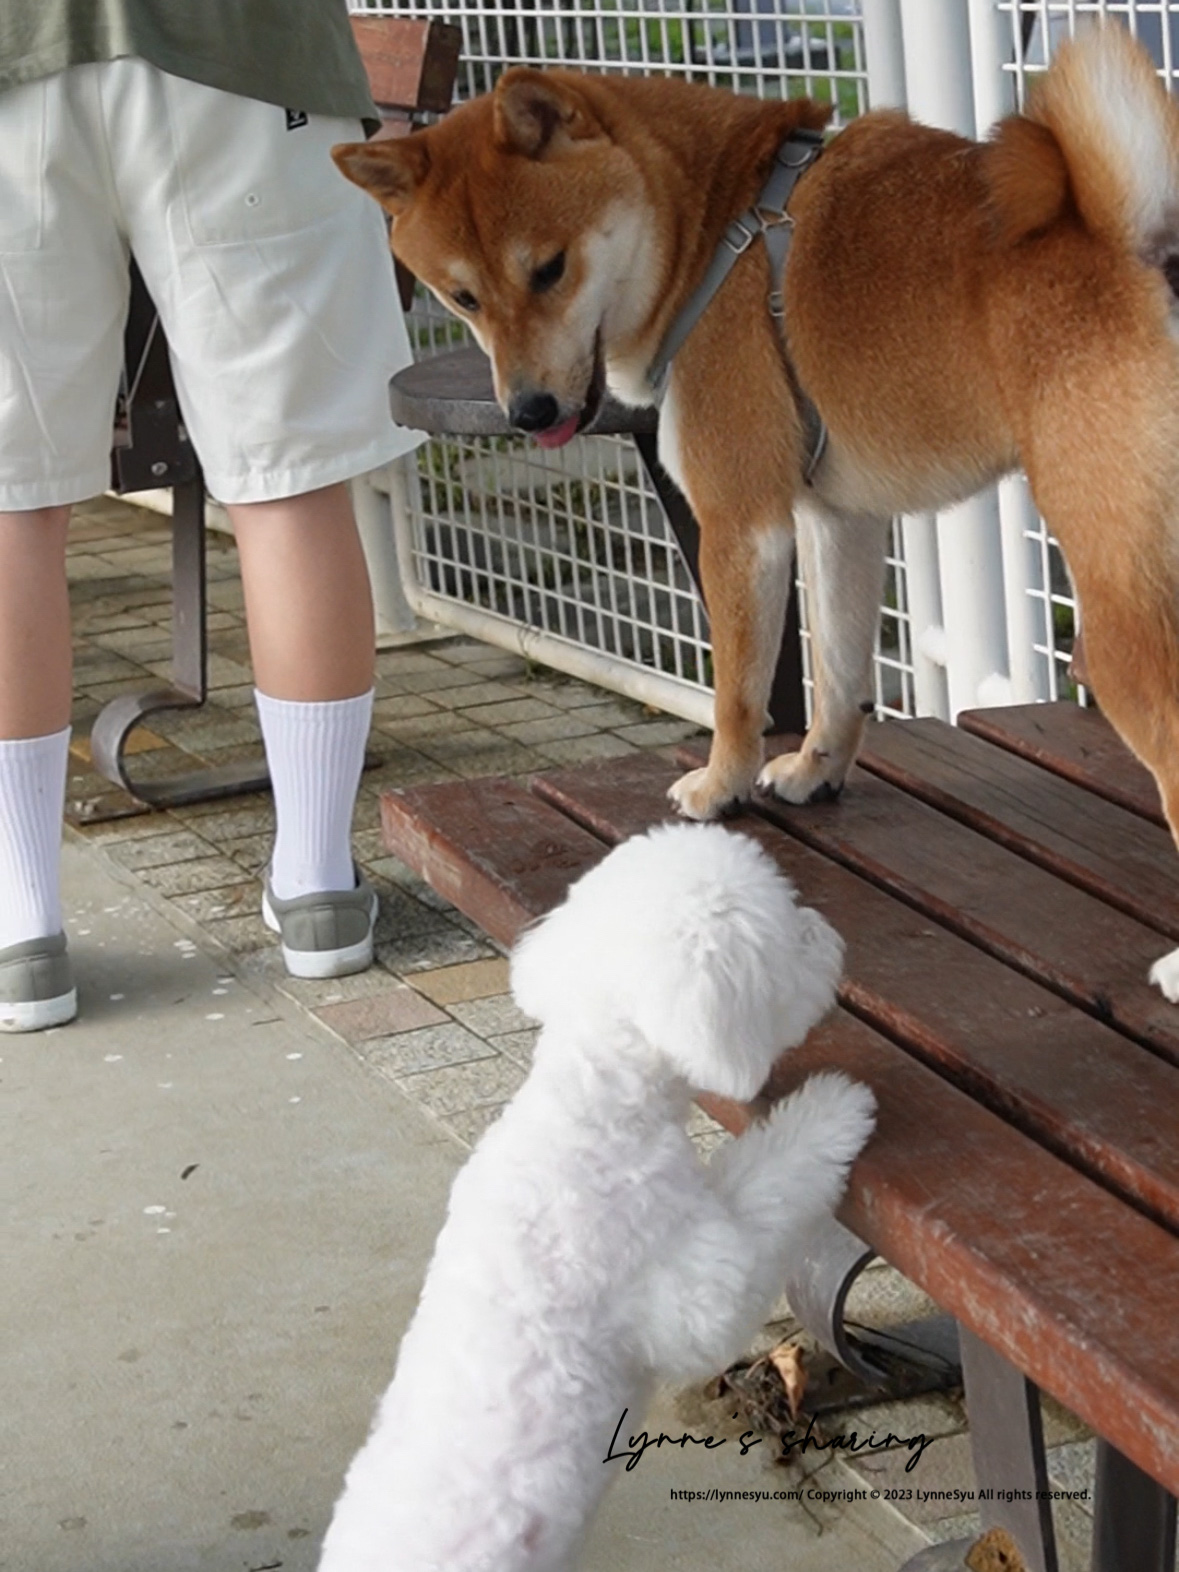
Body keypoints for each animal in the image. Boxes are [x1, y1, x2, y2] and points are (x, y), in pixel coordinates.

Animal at [320, 823, 880, 1572]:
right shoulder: (694, 1291)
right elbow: (764, 1189)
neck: (593, 1106)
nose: (832, 936)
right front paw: (833, 1108)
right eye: (786, 932)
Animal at [334, 24, 1179, 999]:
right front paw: (817, 771)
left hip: (1115, 622)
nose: (530, 414)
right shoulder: (836, 520)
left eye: (548, 269)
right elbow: (840, 678)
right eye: (462, 297)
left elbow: (736, 689)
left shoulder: (741, 523)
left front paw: (717, 786)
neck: (713, 230)